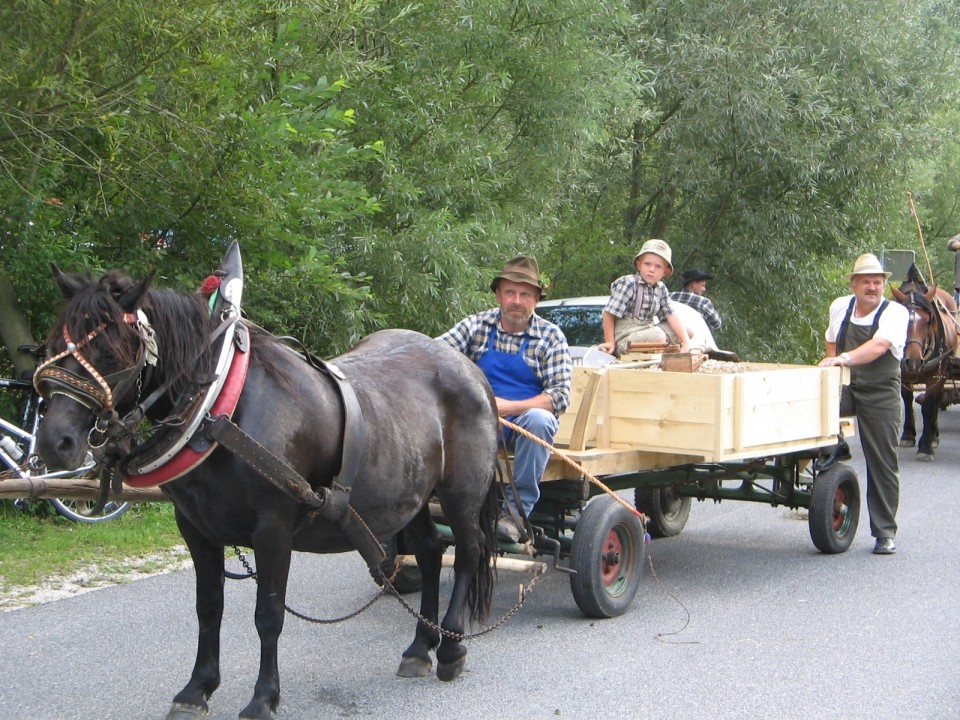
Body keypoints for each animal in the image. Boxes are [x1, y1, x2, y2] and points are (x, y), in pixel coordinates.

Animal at [888, 264, 956, 462]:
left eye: (928, 321)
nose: (913, 362)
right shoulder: (901, 374)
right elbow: (907, 399)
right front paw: (908, 436)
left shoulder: (936, 375)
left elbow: (928, 406)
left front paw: (925, 447)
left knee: (936, 401)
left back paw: (933, 437)